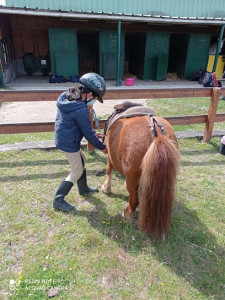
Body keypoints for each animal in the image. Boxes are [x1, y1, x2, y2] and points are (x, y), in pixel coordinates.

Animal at [101, 108, 180, 237]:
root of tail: (157, 133)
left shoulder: (110, 157)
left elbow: (108, 169)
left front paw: (106, 188)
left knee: (134, 200)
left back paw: (127, 214)